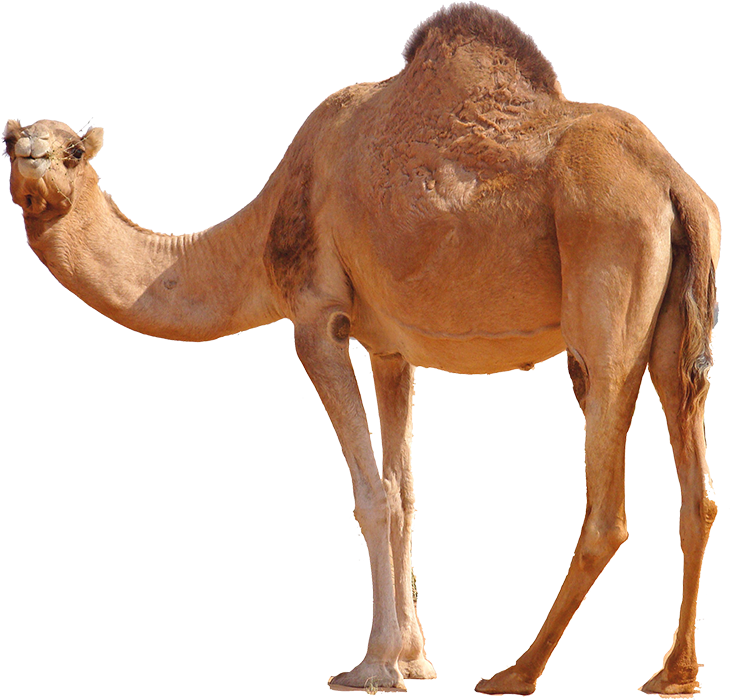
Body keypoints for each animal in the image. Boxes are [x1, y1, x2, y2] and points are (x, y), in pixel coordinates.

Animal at [4, 2, 721, 695]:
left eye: (73, 151)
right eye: (10, 142)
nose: (32, 163)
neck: (263, 229)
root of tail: (676, 184)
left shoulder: (317, 318)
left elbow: (371, 494)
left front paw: (373, 667)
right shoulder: (390, 349)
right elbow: (405, 491)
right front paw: (416, 659)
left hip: (606, 277)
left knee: (607, 502)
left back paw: (516, 672)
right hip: (676, 325)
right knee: (698, 487)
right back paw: (674, 673)